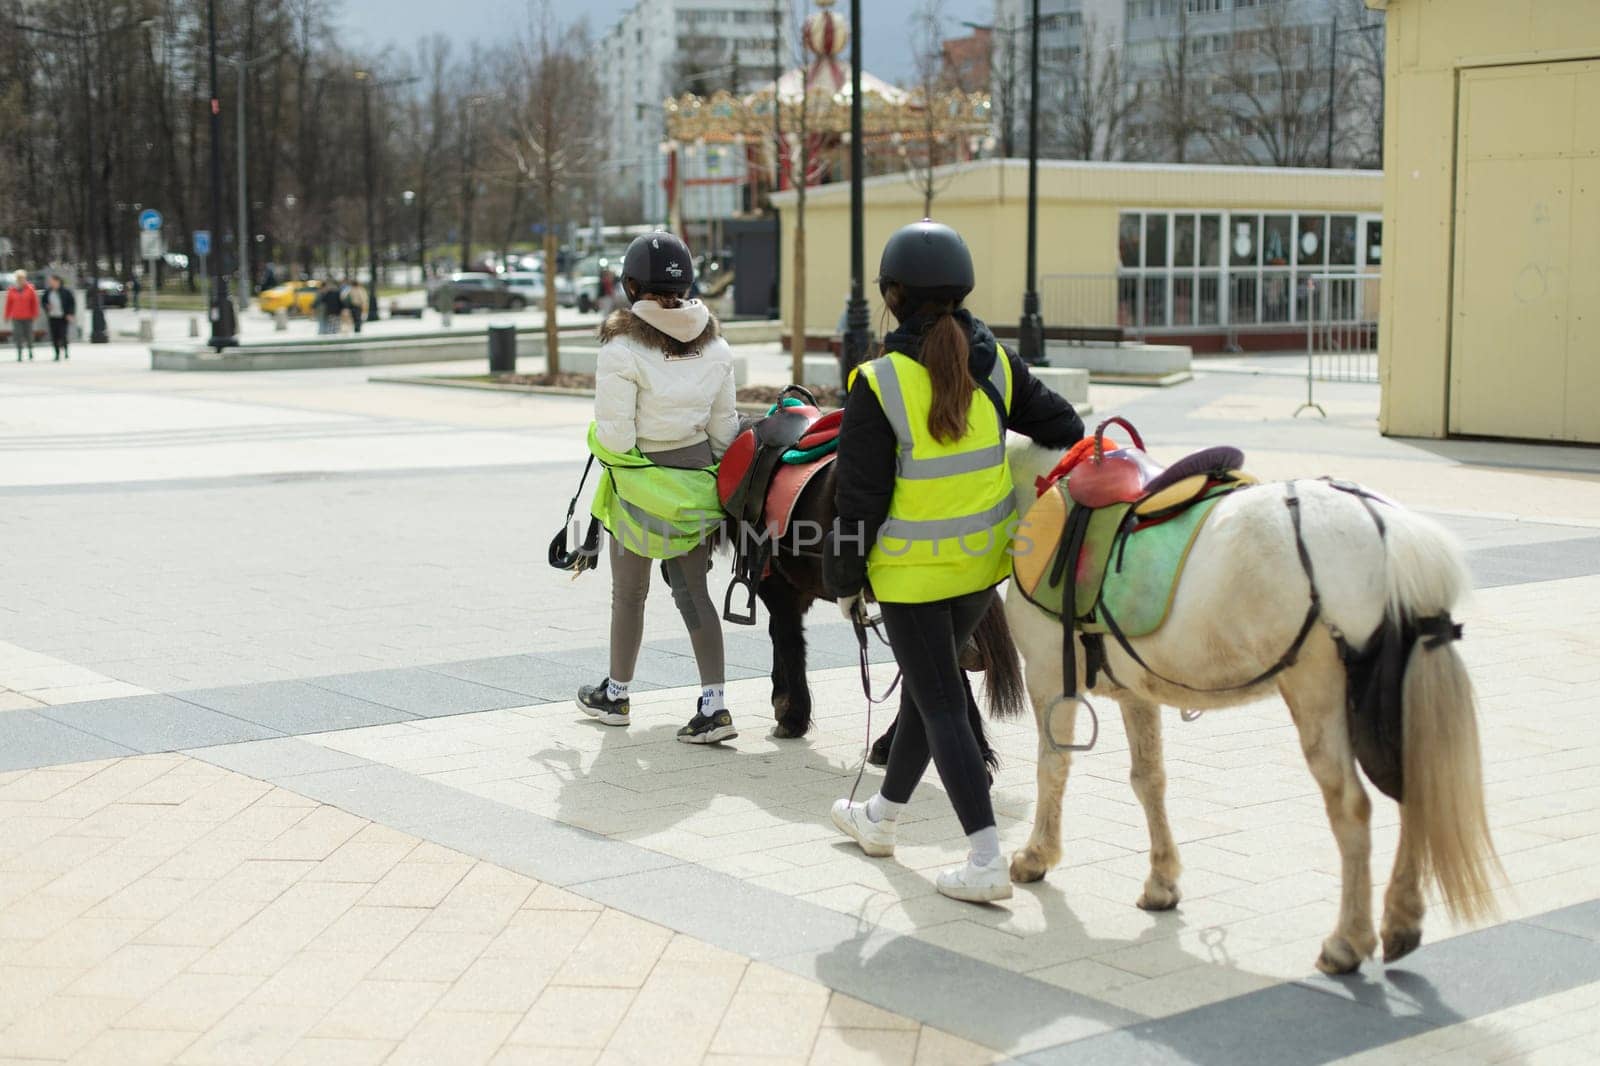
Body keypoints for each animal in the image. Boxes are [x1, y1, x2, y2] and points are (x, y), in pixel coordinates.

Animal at [998, 438, 1497, 973]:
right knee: (1413, 791)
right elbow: (1148, 780)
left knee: (1350, 807)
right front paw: (1162, 881)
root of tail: (1389, 532)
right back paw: (1401, 919)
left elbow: (1052, 768)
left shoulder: (1049, 676)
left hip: (1317, 694)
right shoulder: (1136, 694)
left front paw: (1036, 855)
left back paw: (1346, 940)